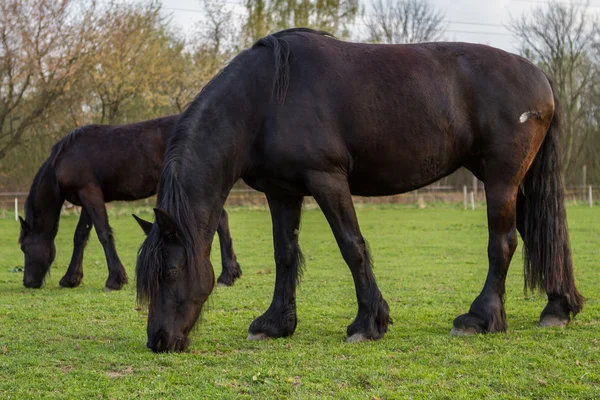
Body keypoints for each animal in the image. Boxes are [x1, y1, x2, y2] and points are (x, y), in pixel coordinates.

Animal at [19, 115, 243, 290]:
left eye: (23, 247)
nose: (28, 282)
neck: (63, 160)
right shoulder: (87, 198)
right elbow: (80, 236)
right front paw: (71, 278)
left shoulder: (90, 194)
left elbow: (103, 234)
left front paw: (115, 279)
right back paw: (230, 273)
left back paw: (226, 275)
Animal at [135, 28, 580, 354]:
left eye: (170, 272)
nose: (159, 340)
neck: (266, 96)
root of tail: (540, 76)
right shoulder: (282, 192)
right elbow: (284, 255)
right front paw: (275, 324)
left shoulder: (327, 179)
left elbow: (352, 246)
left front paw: (369, 323)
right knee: (539, 233)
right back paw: (559, 307)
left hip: (501, 180)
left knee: (502, 243)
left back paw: (480, 318)